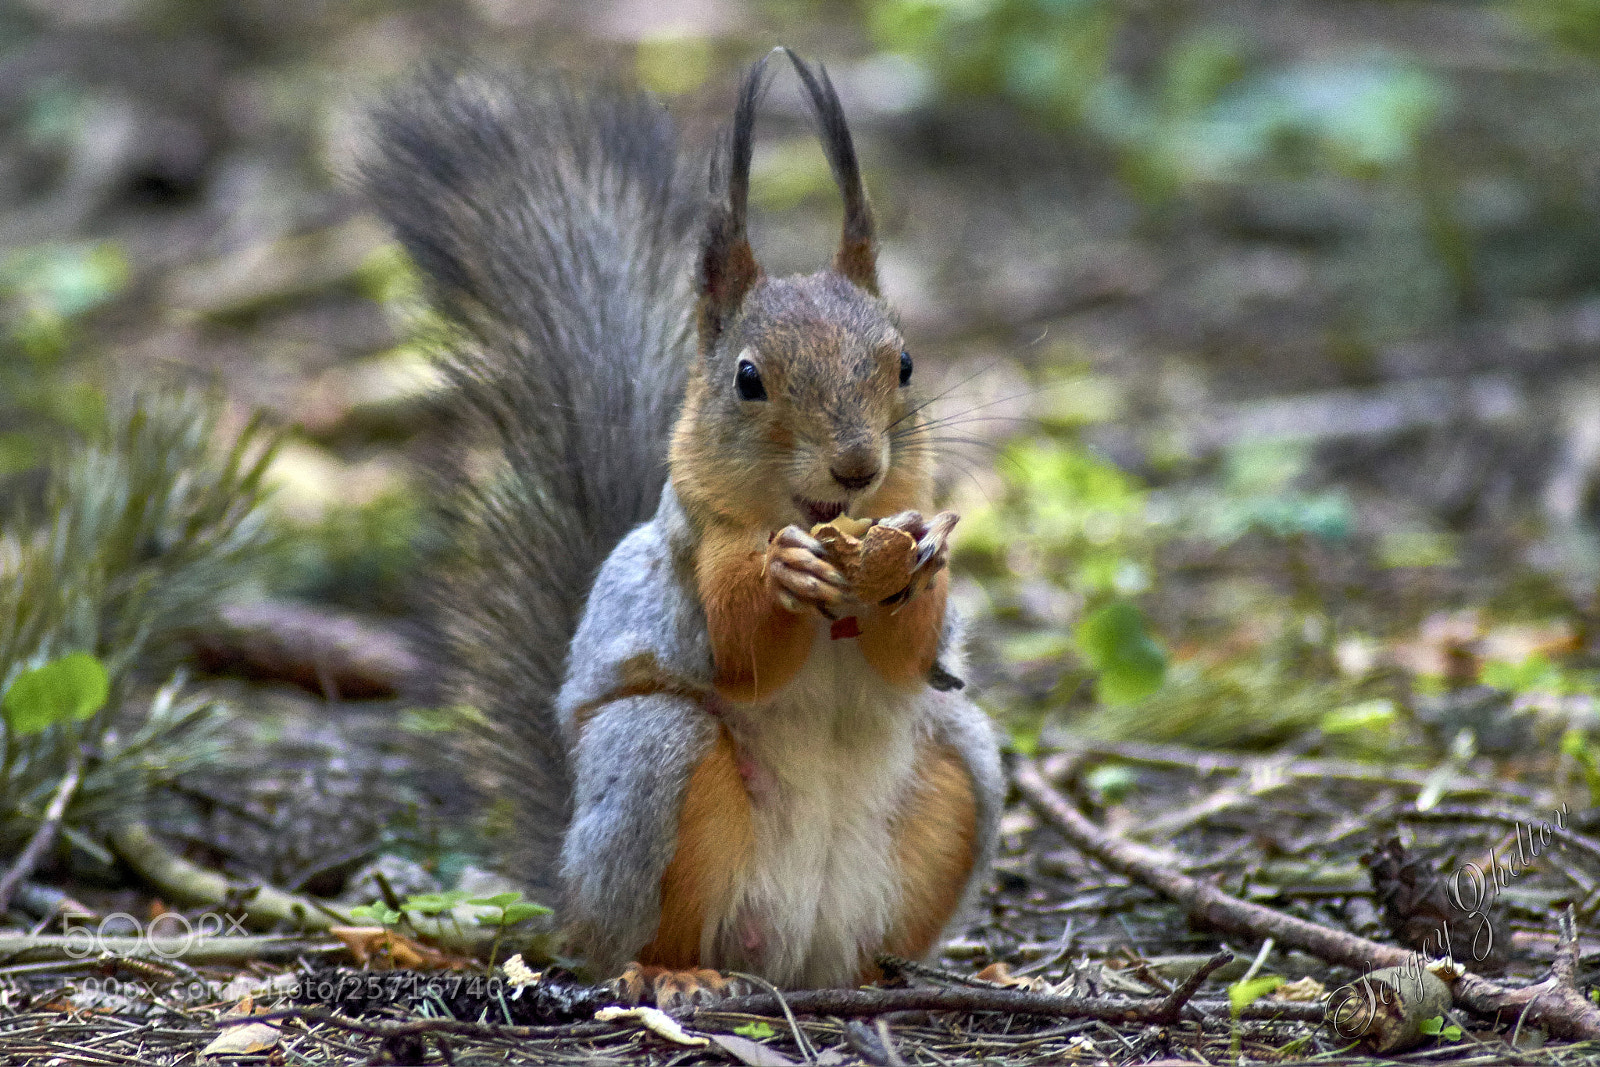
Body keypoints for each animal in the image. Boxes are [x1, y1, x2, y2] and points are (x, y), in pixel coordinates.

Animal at [363, 49, 1003, 1004]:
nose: (857, 467)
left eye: (905, 364)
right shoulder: (697, 551)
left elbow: (910, 655)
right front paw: (784, 577)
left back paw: (908, 974)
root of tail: (793, 955)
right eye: (747, 378)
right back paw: (676, 973)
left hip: (964, 767)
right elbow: (741, 651)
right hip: (651, 763)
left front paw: (921, 557)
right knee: (645, 918)